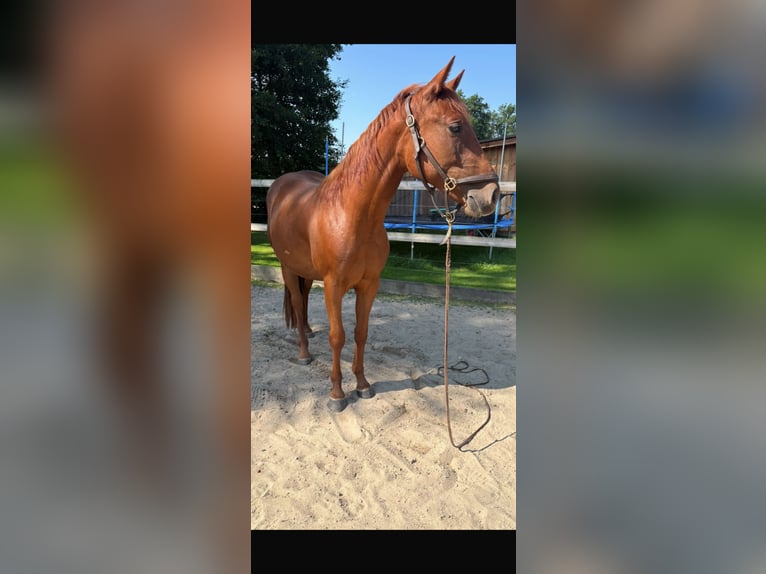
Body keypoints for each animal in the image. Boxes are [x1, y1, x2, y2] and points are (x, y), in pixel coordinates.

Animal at [266, 57, 499, 412]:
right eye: (455, 127)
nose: (491, 195)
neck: (353, 215)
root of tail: (280, 185)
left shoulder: (369, 284)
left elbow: (361, 333)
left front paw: (362, 385)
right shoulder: (334, 285)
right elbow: (338, 336)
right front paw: (337, 394)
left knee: (303, 303)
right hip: (288, 268)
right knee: (296, 299)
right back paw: (304, 352)